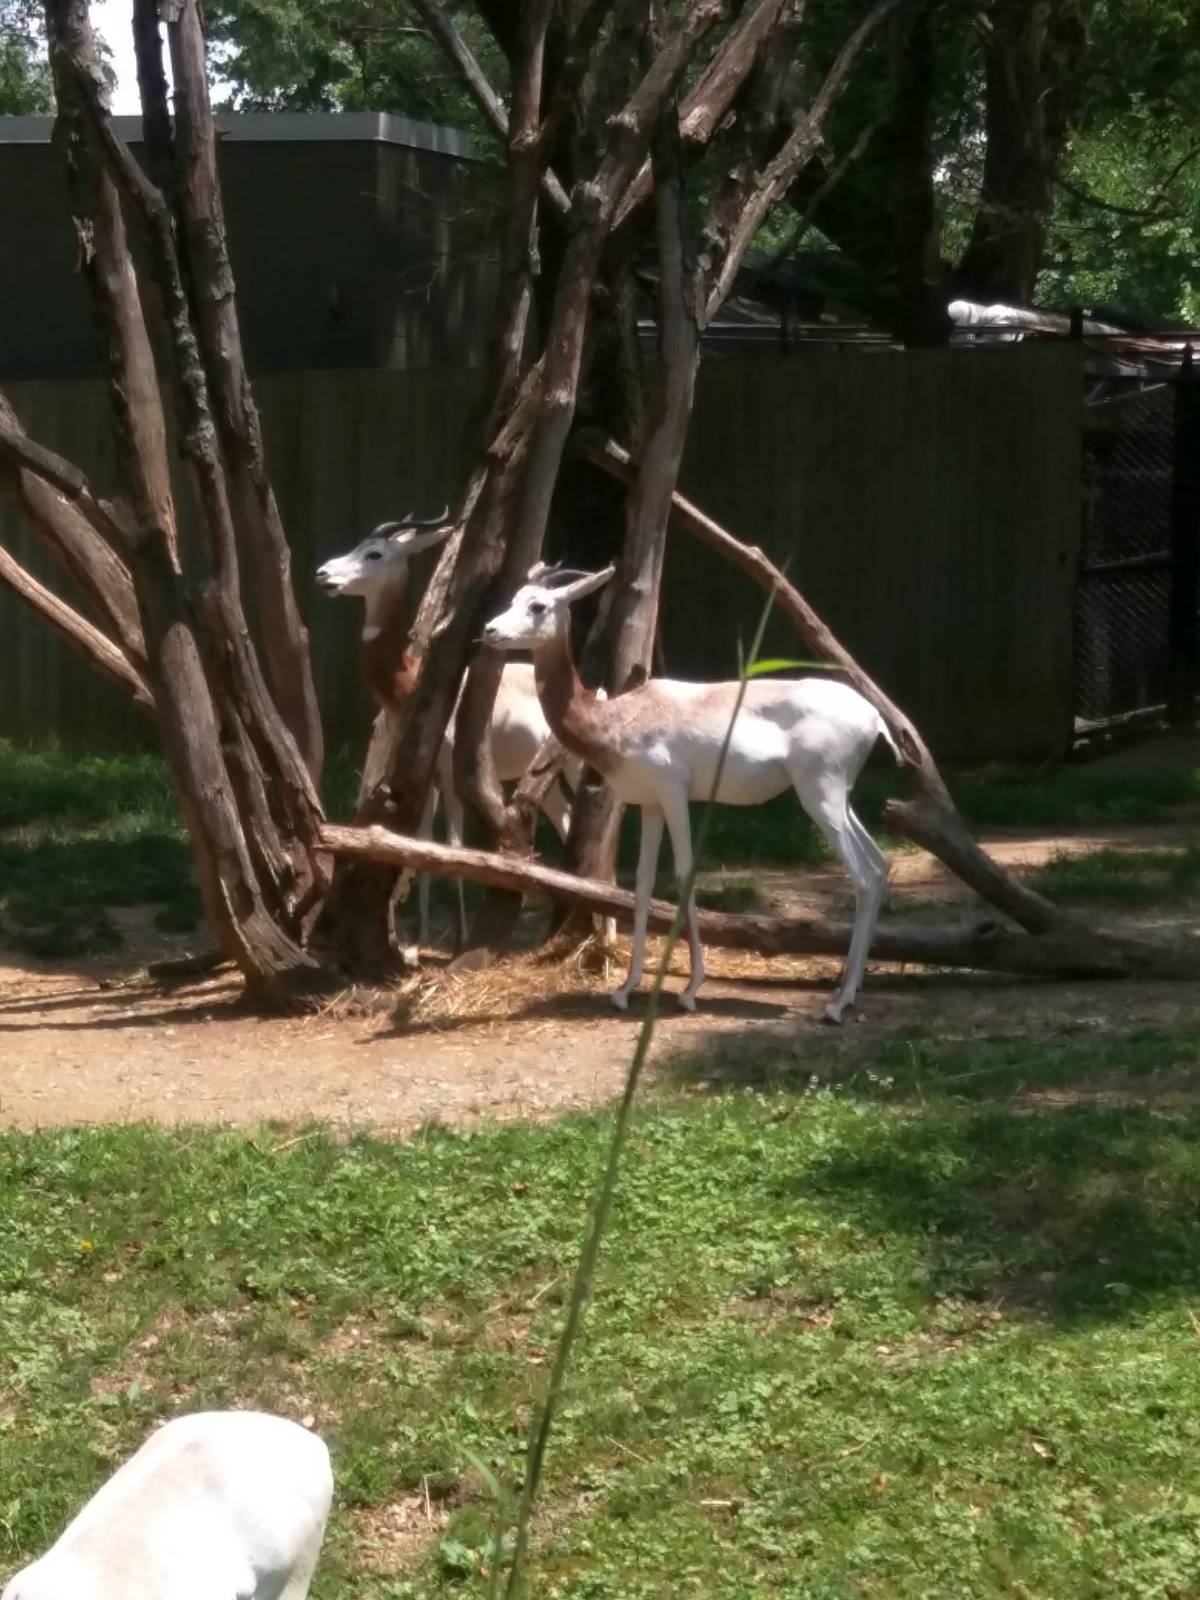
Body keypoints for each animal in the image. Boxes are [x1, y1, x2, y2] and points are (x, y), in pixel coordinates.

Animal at [316, 516, 580, 950]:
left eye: (375, 553)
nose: (323, 573)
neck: (407, 682)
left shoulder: (451, 774)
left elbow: (453, 845)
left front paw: (459, 937)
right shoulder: (427, 776)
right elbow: (423, 841)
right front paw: (421, 936)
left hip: (571, 770)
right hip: (547, 781)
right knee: (568, 819)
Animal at [482, 564, 899, 1022]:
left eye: (538, 606)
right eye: (515, 598)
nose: (489, 630)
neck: (616, 716)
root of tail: (874, 716)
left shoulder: (674, 793)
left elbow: (684, 874)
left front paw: (690, 988)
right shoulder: (649, 803)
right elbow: (643, 881)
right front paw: (626, 988)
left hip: (819, 795)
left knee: (862, 874)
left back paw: (837, 1004)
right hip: (838, 797)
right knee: (879, 864)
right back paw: (849, 991)